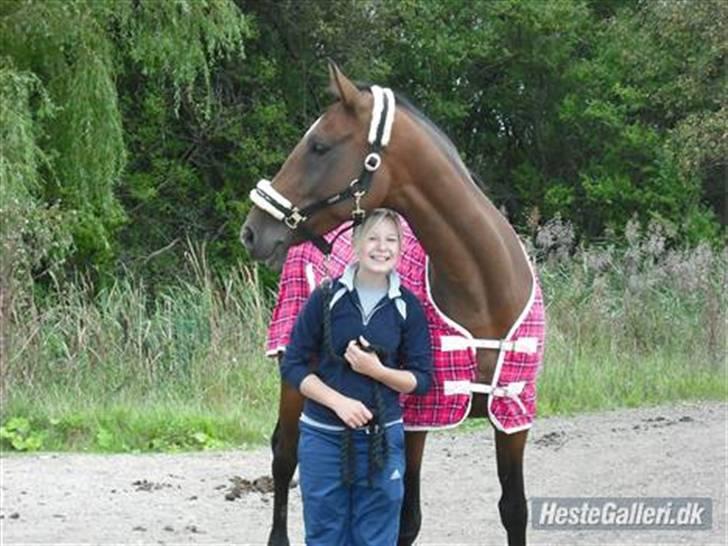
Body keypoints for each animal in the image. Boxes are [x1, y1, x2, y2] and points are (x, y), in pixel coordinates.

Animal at [242, 61, 544, 540]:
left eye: (319, 146)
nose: (253, 230)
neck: (484, 291)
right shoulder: (416, 415)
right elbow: (406, 519)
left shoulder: (512, 414)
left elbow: (513, 509)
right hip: (294, 371)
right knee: (285, 455)